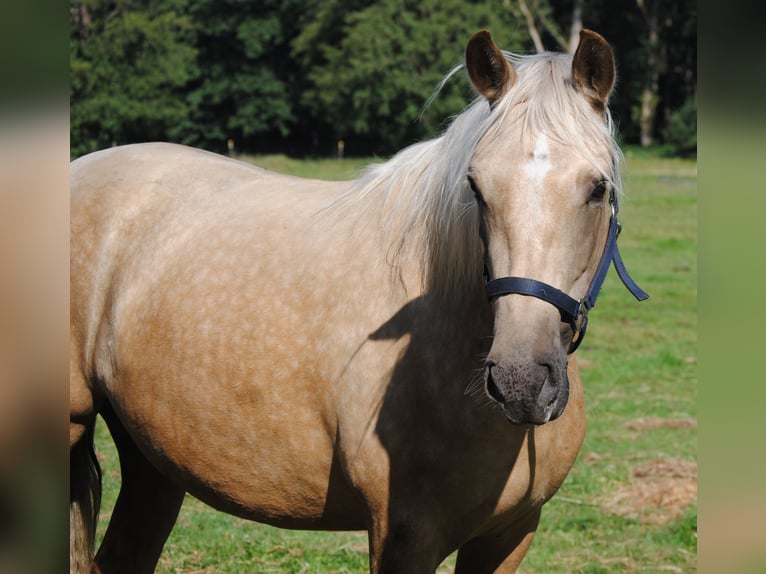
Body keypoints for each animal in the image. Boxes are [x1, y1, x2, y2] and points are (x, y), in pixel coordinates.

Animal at [70, 31, 648, 574]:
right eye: (476, 188)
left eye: (597, 189)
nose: (521, 382)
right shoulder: (403, 538)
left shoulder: (510, 535)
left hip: (153, 463)